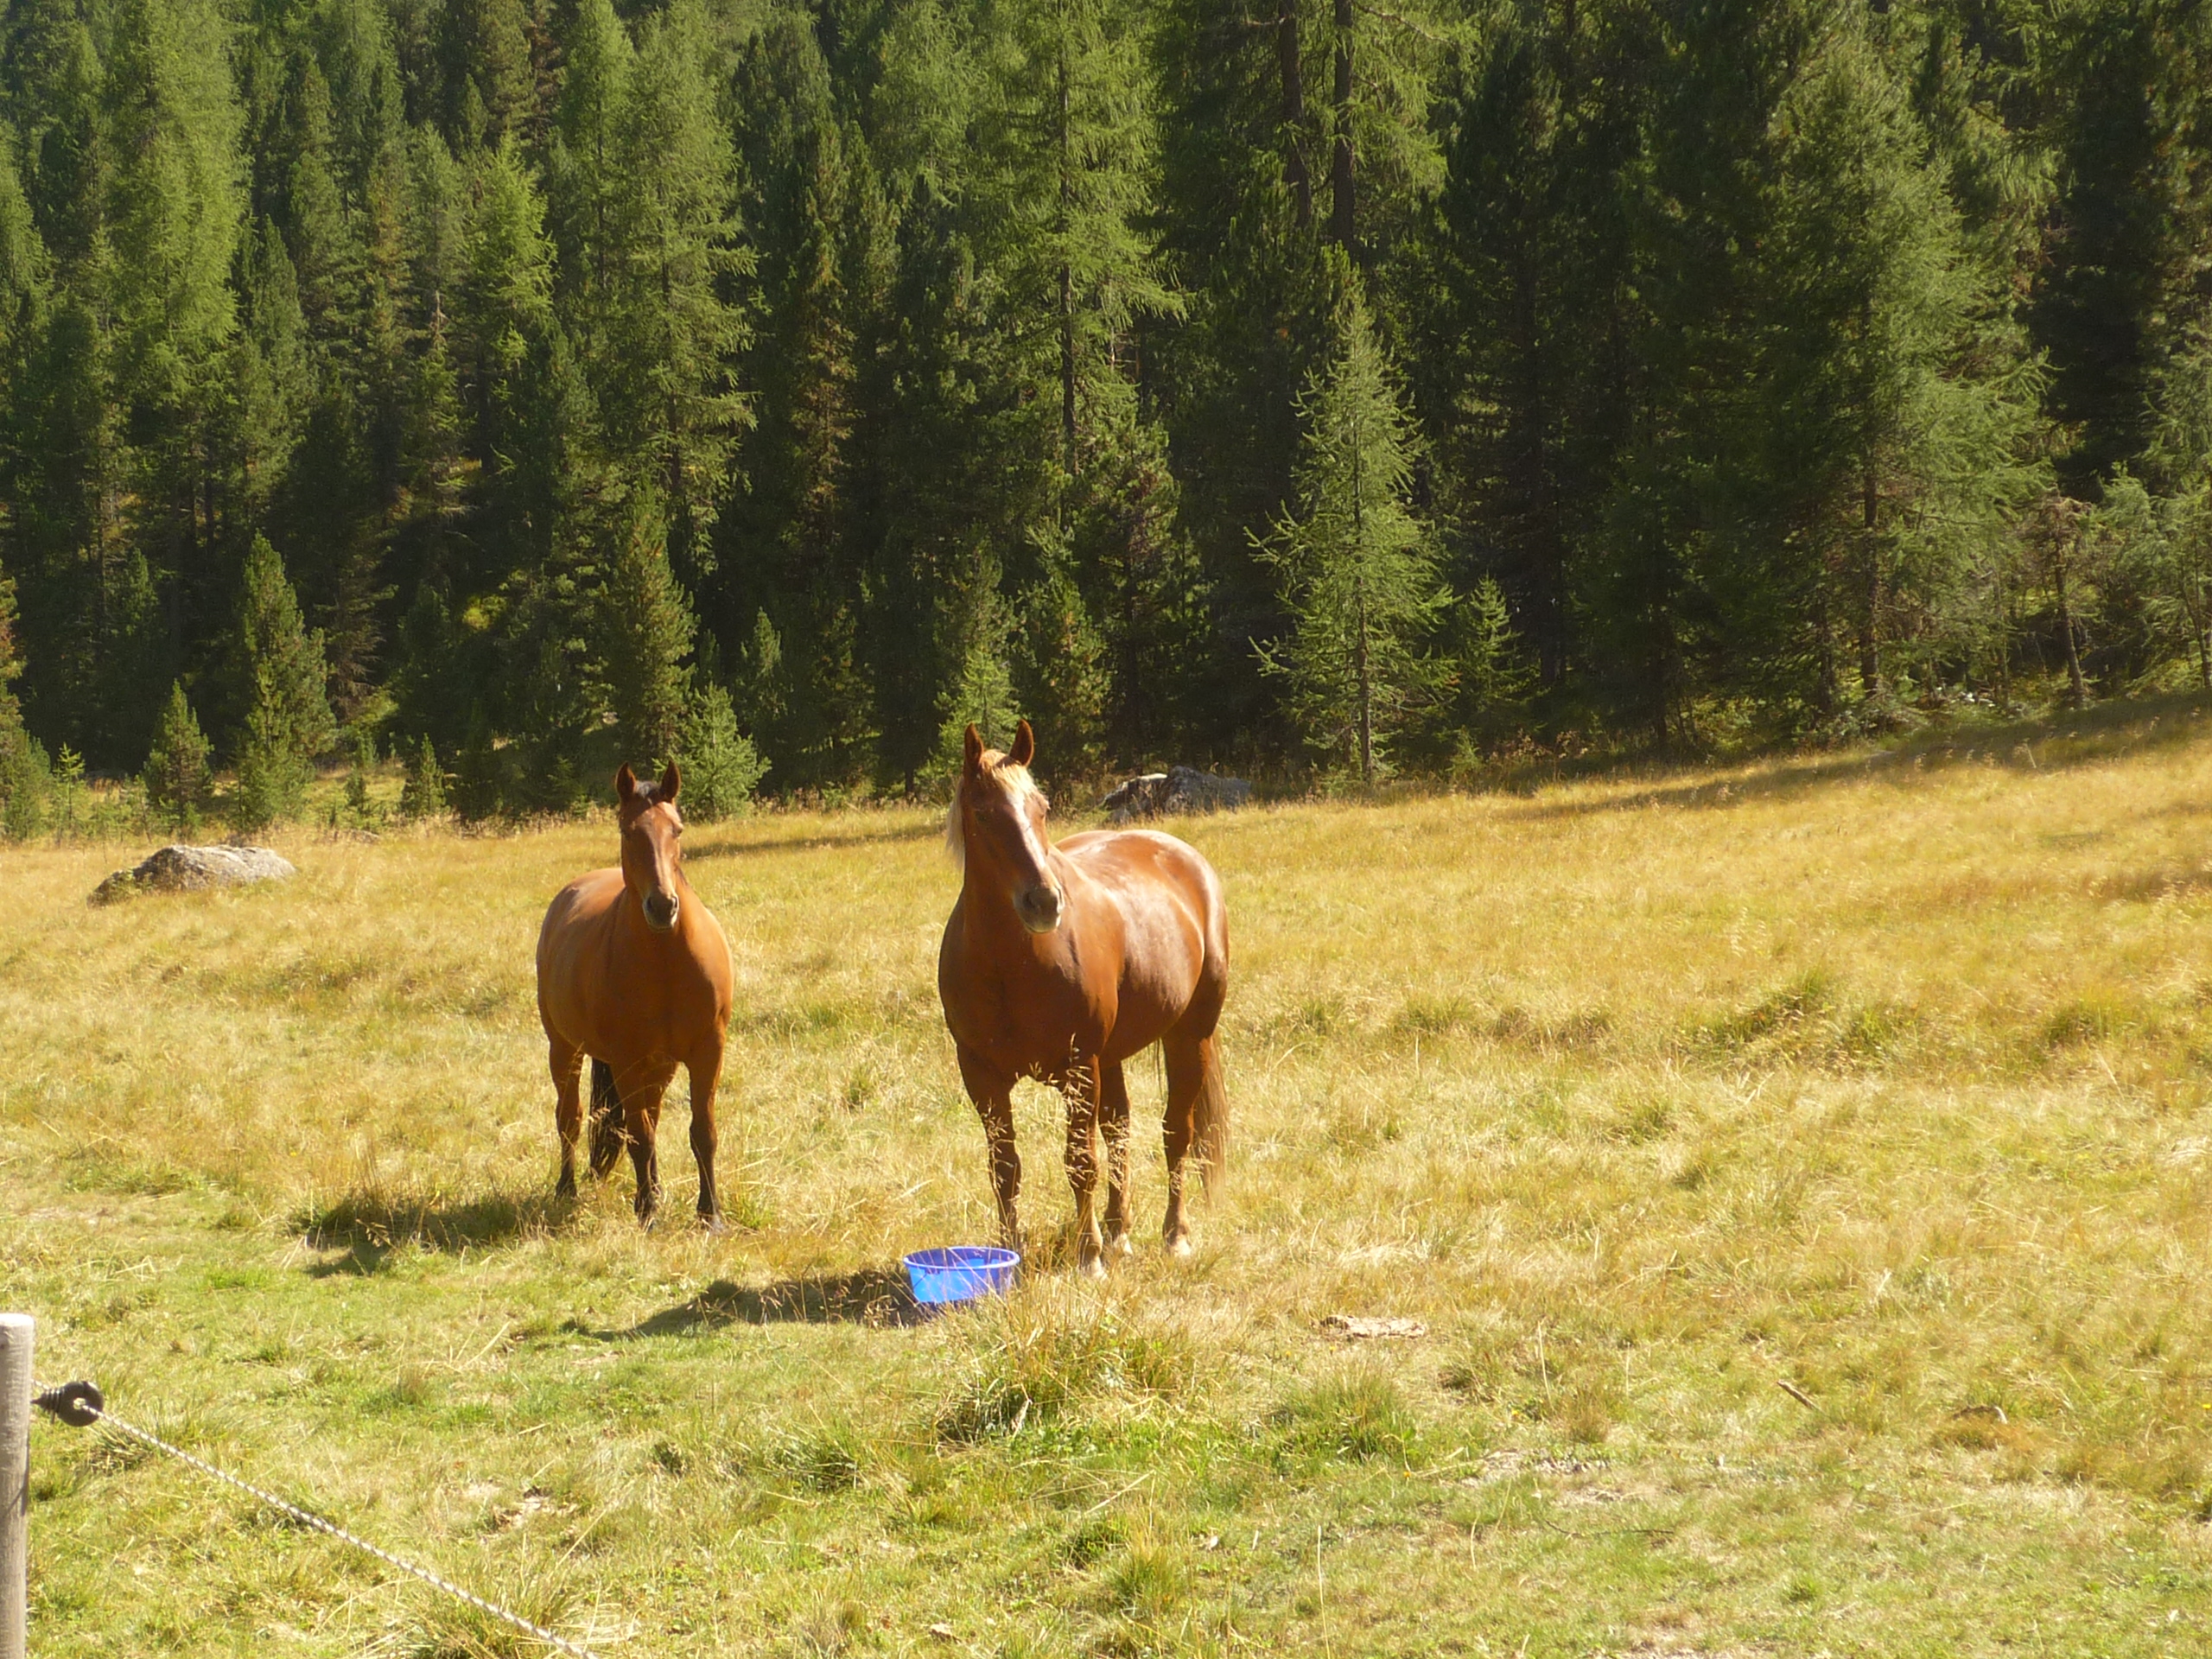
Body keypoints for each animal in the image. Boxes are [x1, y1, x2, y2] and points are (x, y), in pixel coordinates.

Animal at [536, 762, 734, 1229]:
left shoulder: (708, 1051)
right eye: (628, 831)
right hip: (565, 1048)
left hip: (658, 1066)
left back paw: (657, 1189)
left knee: (652, 1117)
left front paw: (711, 1215)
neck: (667, 962)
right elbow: (638, 1135)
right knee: (570, 1119)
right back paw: (567, 1189)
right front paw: (646, 1213)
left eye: (677, 829)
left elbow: (703, 1132)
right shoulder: (626, 1059)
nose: (662, 906)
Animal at [937, 719, 1230, 1276]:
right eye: (983, 813)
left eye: (1042, 808)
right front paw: (1012, 1253)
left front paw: (1088, 1255)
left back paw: (1174, 1235)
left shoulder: (1078, 1064)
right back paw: (1119, 1232)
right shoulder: (980, 1073)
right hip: (1111, 1058)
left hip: (1189, 1036)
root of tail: (1183, 857)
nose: (1044, 902)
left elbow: (1080, 1161)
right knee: (1120, 1128)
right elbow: (1004, 1167)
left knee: (1175, 1133)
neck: (1011, 966)